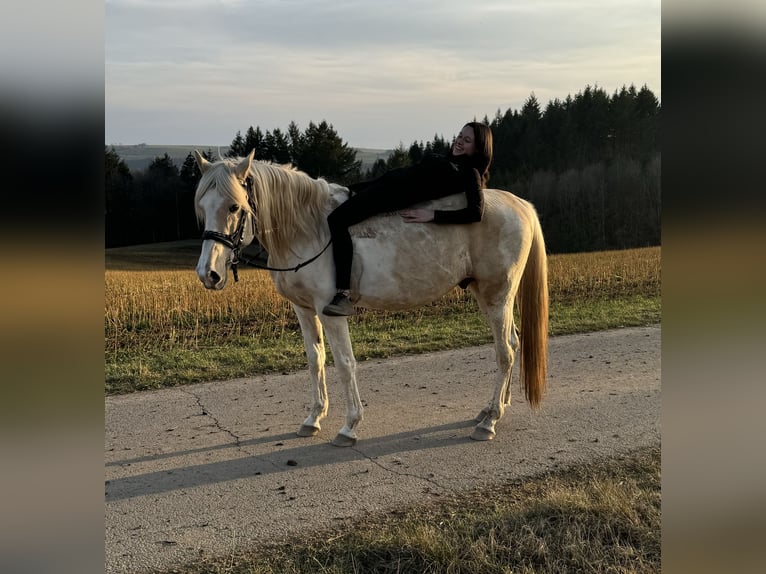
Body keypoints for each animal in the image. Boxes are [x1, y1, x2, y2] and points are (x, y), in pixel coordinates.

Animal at [195, 151, 548, 448]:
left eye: (234, 207)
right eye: (202, 208)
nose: (207, 273)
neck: (308, 228)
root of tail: (520, 204)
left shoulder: (330, 312)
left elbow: (344, 363)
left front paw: (350, 425)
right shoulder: (303, 310)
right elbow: (315, 360)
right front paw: (313, 418)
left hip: (498, 295)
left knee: (504, 352)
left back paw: (489, 422)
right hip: (487, 295)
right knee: (513, 342)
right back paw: (493, 408)